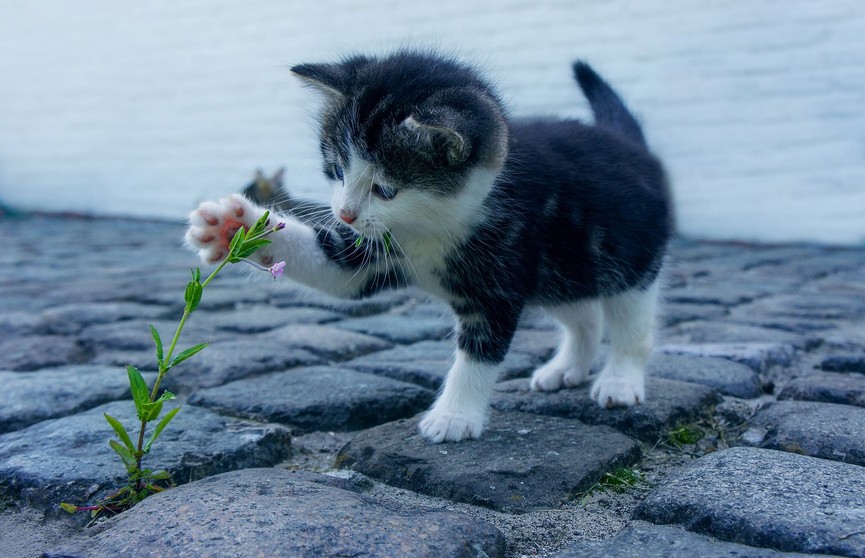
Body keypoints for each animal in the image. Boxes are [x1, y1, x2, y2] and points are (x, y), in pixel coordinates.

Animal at [186, 52, 672, 446]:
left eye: (385, 189)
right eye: (337, 169)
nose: (344, 214)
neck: (431, 226)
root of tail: (631, 145)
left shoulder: (500, 275)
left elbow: (479, 352)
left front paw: (454, 416)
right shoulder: (375, 250)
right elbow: (335, 269)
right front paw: (233, 227)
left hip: (628, 260)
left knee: (631, 324)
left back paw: (619, 380)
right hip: (561, 269)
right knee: (583, 314)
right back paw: (566, 367)